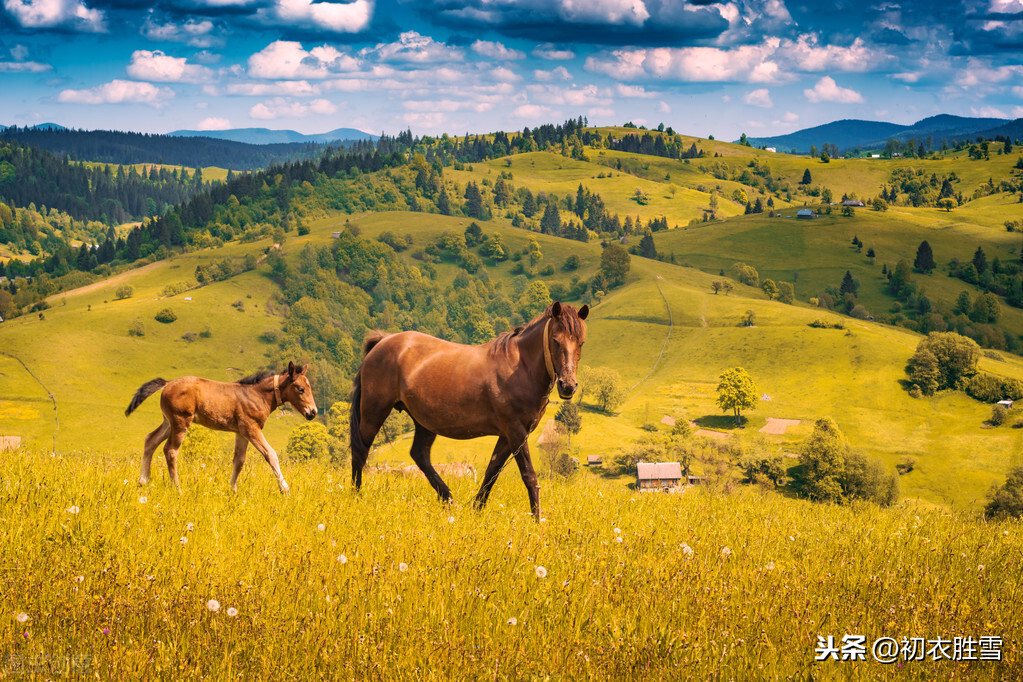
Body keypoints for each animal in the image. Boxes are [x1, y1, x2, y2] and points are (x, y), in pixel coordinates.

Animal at [124, 366, 315, 492]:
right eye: (300, 389)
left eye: (309, 387)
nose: (313, 412)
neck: (257, 395)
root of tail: (168, 383)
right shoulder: (251, 428)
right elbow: (271, 454)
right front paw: (285, 489)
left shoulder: (241, 432)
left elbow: (239, 460)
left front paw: (232, 490)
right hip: (180, 421)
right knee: (170, 450)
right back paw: (177, 488)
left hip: (168, 421)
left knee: (150, 439)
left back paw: (143, 481)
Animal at [351, 300, 589, 519]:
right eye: (555, 340)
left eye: (581, 343)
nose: (568, 386)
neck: (519, 368)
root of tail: (383, 341)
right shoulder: (516, 431)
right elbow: (528, 475)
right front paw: (536, 519)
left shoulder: (507, 435)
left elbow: (492, 471)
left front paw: (477, 510)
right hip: (374, 411)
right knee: (360, 451)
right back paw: (357, 497)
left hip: (424, 421)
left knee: (419, 455)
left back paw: (448, 499)